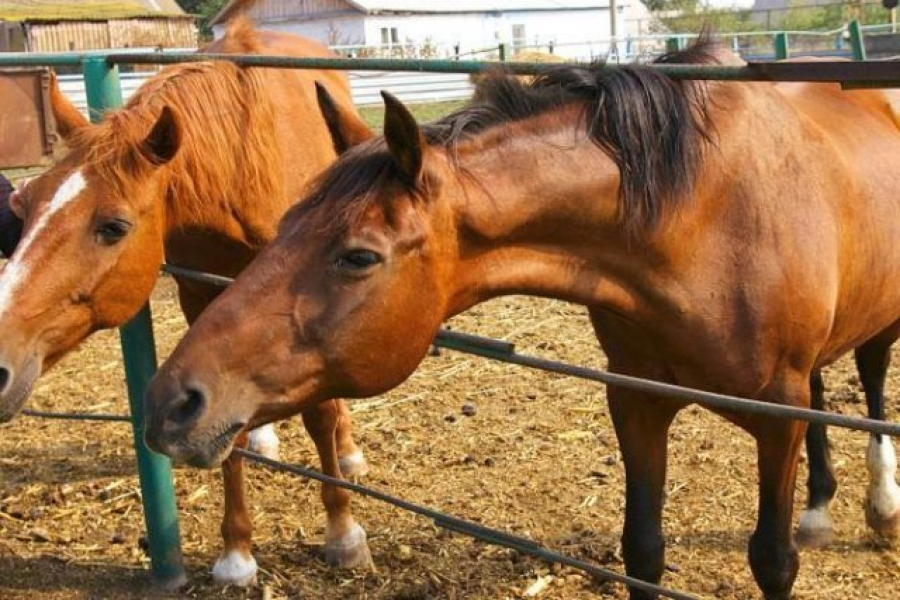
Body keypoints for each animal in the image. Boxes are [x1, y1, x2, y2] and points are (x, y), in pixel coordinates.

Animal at [0, 17, 374, 584]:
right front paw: (237, 553)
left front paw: (343, 532)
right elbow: (225, 433)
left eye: (114, 226)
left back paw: (348, 454)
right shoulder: (202, 297)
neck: (242, 170)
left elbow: (322, 416)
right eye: (23, 204)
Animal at [142, 39, 900, 596]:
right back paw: (820, 510)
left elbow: (772, 560)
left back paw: (879, 504)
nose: (171, 401)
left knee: (870, 378)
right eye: (286, 225)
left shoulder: (776, 417)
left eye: (358, 256)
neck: (703, 221)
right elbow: (643, 550)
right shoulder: (636, 400)